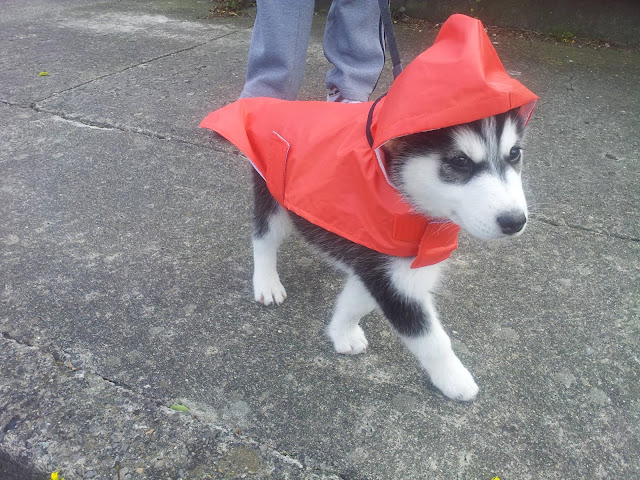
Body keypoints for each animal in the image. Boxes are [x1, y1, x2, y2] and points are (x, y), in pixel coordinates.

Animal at [251, 108, 528, 402]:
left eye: (514, 153)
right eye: (460, 160)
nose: (514, 221)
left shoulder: (381, 265)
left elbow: (357, 302)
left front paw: (342, 332)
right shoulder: (397, 284)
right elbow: (431, 340)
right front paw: (455, 379)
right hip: (272, 193)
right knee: (264, 237)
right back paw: (267, 282)